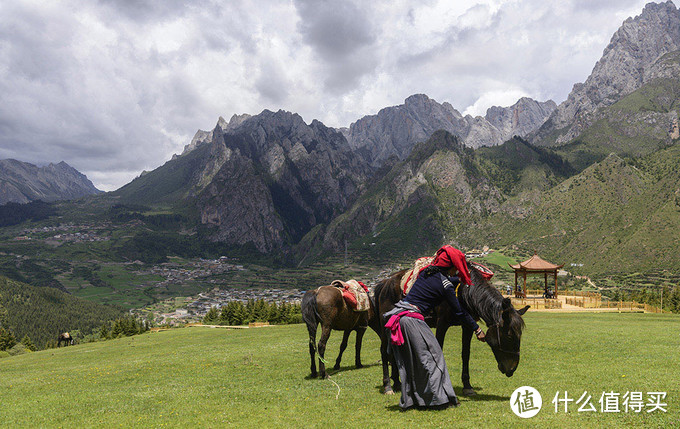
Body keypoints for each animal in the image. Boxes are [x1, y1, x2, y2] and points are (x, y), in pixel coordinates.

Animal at [374, 264, 528, 394]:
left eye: (520, 335)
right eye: (509, 335)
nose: (512, 369)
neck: (463, 291)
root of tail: (385, 283)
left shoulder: (467, 325)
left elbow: (465, 353)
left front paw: (467, 386)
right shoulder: (442, 323)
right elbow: (438, 349)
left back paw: (397, 383)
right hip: (385, 324)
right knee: (384, 351)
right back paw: (388, 386)